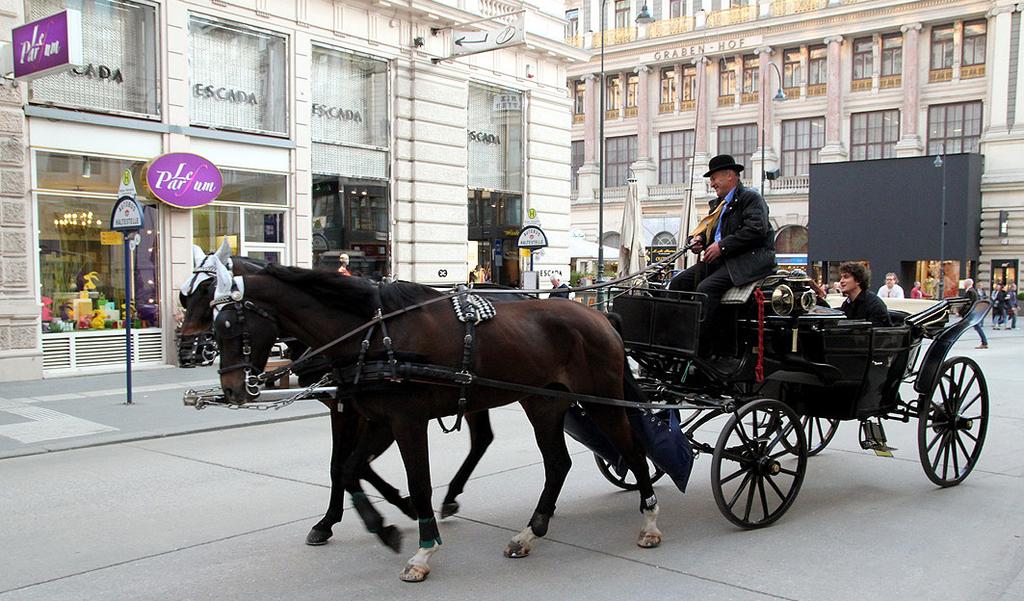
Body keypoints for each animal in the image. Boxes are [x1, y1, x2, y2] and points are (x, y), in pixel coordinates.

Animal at [179, 246, 495, 552]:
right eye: (186, 293)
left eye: (207, 288)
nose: (186, 341)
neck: (363, 332)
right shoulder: (348, 408)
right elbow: (345, 464)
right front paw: (345, 518)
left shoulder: (361, 412)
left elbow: (345, 464)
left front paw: (350, 517)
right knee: (482, 439)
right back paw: (450, 496)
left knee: (481, 438)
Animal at [205, 261, 663, 581]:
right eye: (214, 325)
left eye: (231, 326)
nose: (231, 389)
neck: (376, 335)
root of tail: (601, 316)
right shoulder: (377, 420)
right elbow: (349, 469)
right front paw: (383, 527)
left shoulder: (406, 421)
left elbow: (417, 482)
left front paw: (424, 550)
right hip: (543, 404)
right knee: (558, 464)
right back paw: (530, 533)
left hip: (603, 400)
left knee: (633, 451)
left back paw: (649, 521)